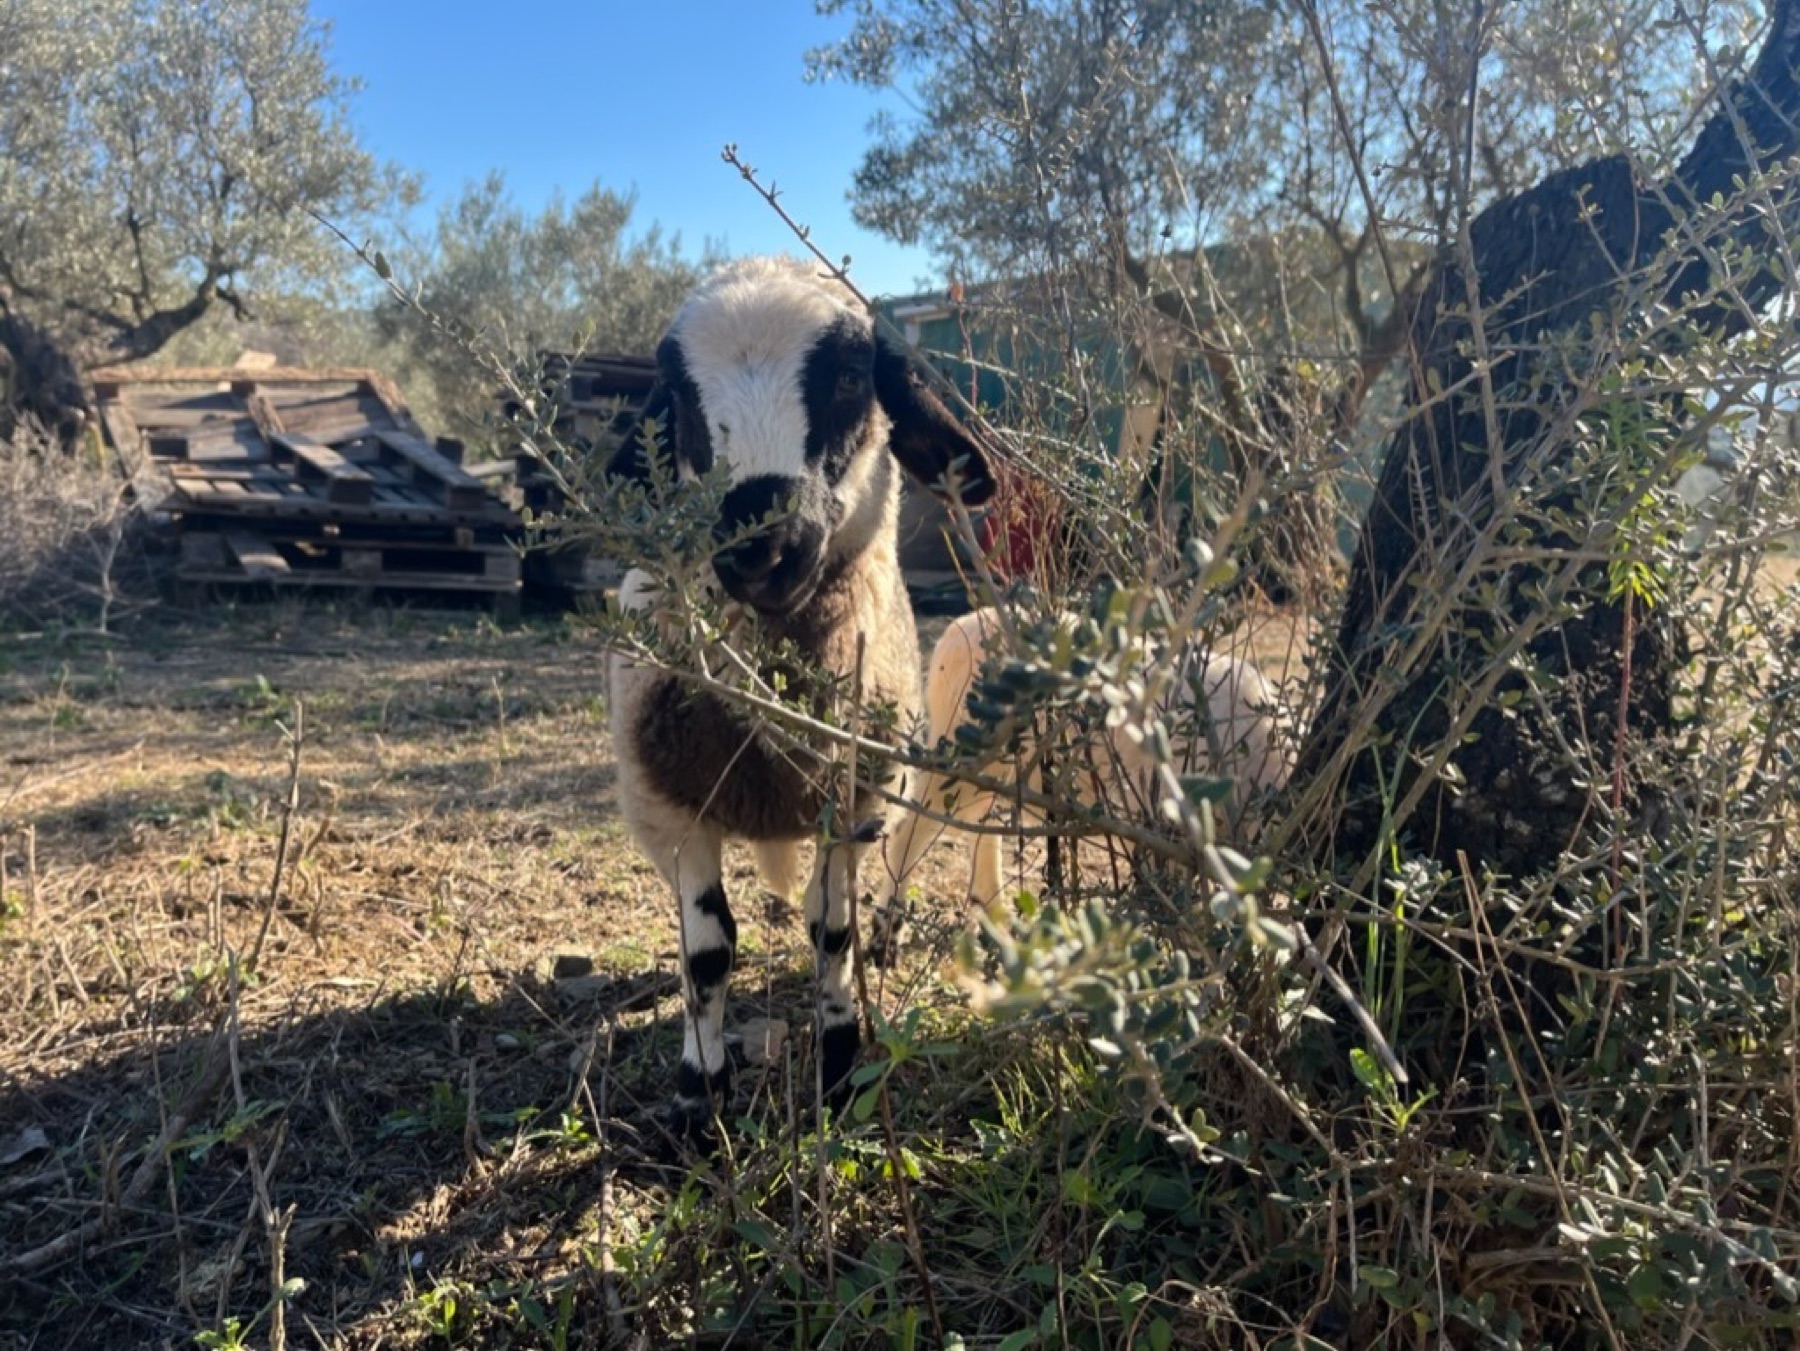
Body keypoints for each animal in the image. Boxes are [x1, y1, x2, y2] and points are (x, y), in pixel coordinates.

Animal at [603, 256, 994, 1141]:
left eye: (852, 374)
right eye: (678, 393)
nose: (760, 544)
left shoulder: (852, 804)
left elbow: (830, 928)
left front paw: (842, 1069)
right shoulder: (673, 809)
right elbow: (706, 948)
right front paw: (696, 1095)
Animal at [872, 604, 1292, 937]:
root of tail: (958, 627)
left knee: (980, 825)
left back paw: (1002, 924)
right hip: (963, 746)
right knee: (912, 825)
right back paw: (885, 933)